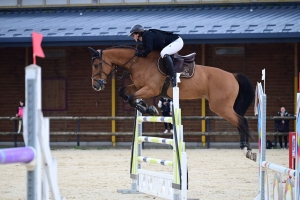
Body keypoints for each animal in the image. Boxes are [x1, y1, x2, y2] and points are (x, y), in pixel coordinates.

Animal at [88, 46, 255, 162]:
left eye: (96, 65)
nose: (96, 86)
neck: (138, 62)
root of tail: (232, 75)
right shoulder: (138, 86)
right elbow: (123, 91)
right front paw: (146, 107)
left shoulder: (150, 89)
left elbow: (130, 98)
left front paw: (147, 108)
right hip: (224, 107)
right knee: (241, 122)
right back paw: (246, 149)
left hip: (220, 107)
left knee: (242, 121)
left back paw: (246, 150)